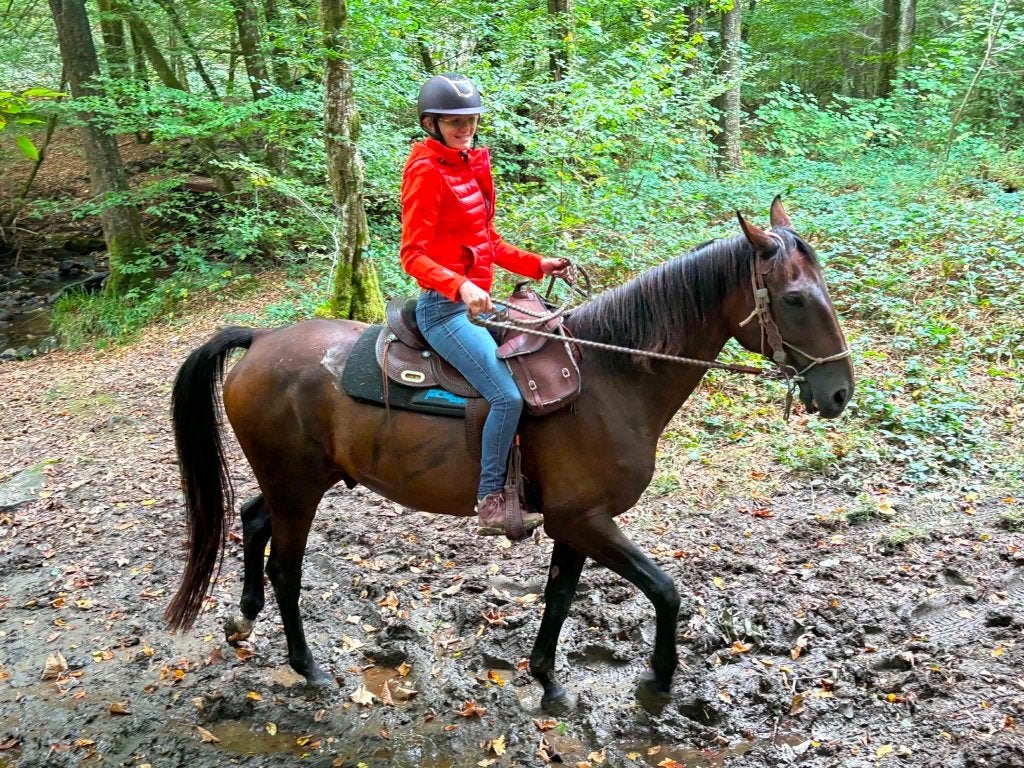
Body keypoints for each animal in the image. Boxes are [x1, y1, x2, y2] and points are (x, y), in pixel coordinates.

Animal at [165, 198, 853, 711]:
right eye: (794, 298)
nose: (839, 392)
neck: (608, 377)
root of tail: (260, 341)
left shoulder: (576, 523)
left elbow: (560, 596)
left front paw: (547, 679)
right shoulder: (586, 520)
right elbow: (665, 590)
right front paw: (657, 682)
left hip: (298, 481)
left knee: (253, 521)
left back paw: (244, 619)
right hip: (299, 487)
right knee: (285, 568)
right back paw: (307, 666)